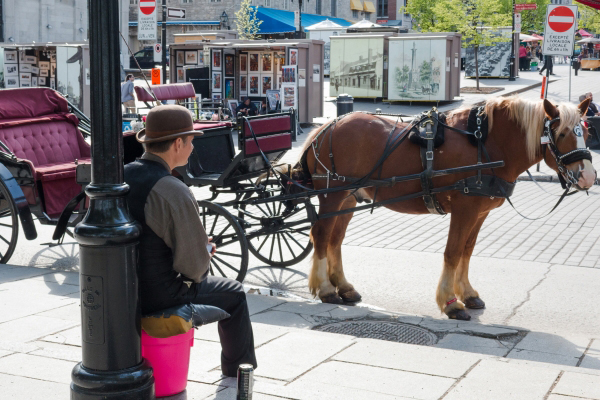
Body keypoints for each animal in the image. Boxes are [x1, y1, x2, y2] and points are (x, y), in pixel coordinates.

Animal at [300, 98, 596, 320]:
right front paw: (451, 302)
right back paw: (325, 288)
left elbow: (466, 251)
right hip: (332, 195)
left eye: (587, 133)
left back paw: (343, 286)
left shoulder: (480, 212)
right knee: (321, 236)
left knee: (335, 240)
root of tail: (326, 127)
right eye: (561, 133)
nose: (589, 176)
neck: (484, 143)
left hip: (348, 199)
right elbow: (453, 252)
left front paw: (467, 293)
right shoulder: (465, 209)